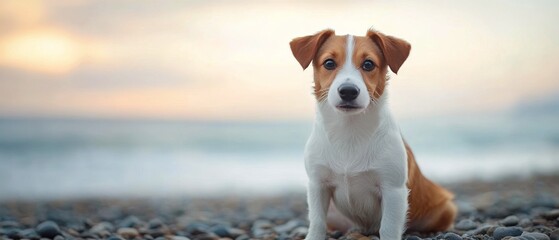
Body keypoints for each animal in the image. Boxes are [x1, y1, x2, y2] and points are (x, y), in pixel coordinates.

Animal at [290, 28, 458, 240]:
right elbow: (317, 222)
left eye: (368, 64)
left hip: (444, 209)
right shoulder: (317, 185)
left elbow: (388, 227)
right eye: (329, 63)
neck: (350, 131)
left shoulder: (393, 190)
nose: (348, 91)